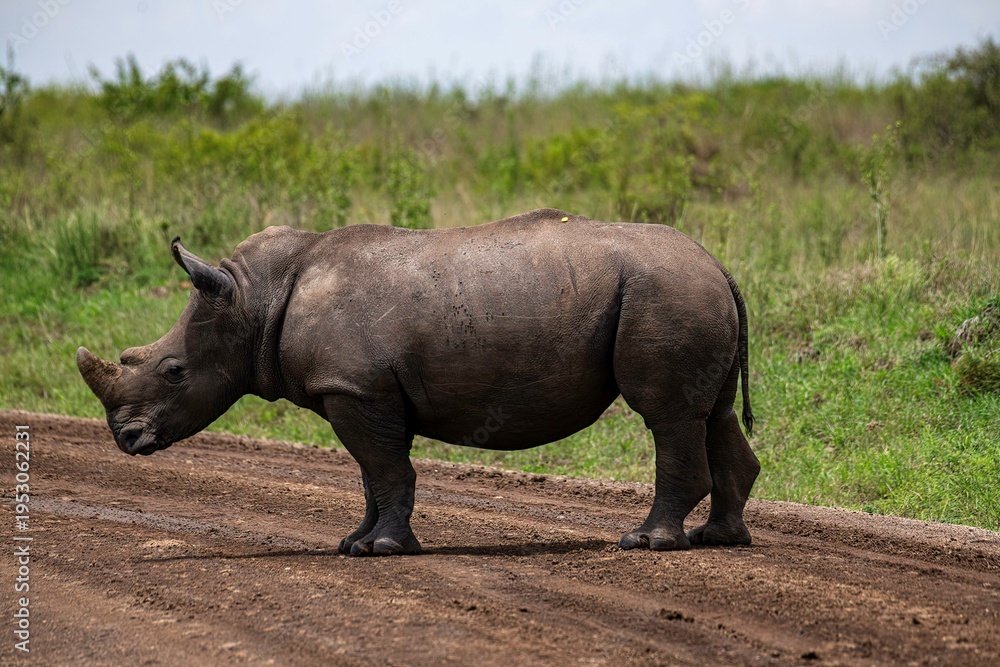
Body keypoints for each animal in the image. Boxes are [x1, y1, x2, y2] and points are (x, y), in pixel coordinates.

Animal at [77, 208, 759, 555]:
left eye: (173, 372)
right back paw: (718, 539)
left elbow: (385, 468)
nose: (125, 438)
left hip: (663, 291)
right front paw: (353, 543)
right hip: (681, 289)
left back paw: (647, 542)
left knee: (667, 416)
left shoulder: (355, 389)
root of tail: (718, 263)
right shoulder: (359, 390)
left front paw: (382, 550)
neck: (252, 298)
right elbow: (370, 473)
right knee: (714, 413)